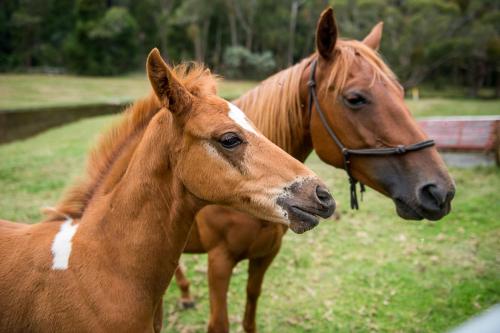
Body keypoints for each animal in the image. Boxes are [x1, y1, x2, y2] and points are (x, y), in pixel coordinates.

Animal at [172, 7, 458, 332]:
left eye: (400, 92)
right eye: (355, 98)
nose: (439, 191)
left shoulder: (265, 256)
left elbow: (251, 307)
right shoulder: (219, 262)